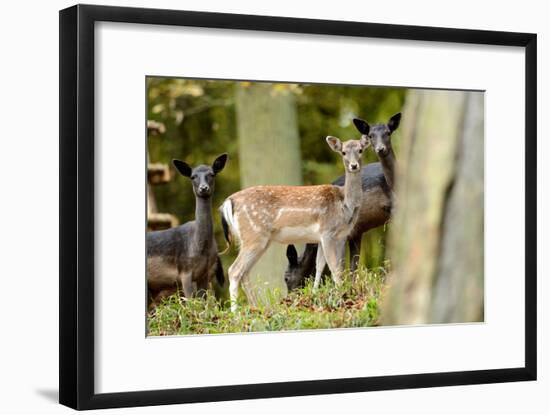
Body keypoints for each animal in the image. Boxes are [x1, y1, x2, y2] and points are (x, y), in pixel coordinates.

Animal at [147, 154, 229, 308]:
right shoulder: (184, 271)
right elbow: (192, 306)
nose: (204, 188)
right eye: (193, 176)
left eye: (212, 174)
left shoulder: (204, 274)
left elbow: (204, 306)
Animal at [221, 135, 370, 310]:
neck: (345, 205)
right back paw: (235, 311)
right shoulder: (327, 231)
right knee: (234, 270)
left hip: (258, 240)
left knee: (245, 272)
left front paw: (315, 295)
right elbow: (334, 267)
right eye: (344, 152)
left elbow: (321, 265)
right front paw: (342, 296)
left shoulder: (331, 236)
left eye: (360, 150)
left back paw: (255, 307)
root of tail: (229, 202)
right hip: (253, 235)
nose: (354, 166)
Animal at [286, 112, 404, 290]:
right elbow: (353, 265)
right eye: (370, 135)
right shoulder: (356, 232)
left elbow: (338, 264)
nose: (290, 293)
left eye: (286, 278)